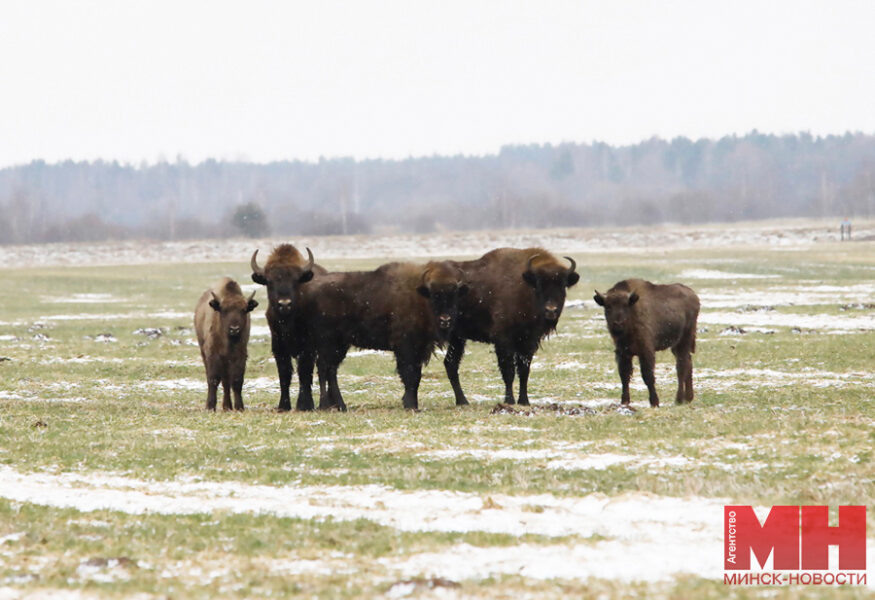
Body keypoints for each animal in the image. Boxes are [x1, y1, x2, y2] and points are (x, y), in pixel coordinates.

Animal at [194, 277, 258, 411]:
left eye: (244, 310)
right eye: (224, 310)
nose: (234, 329)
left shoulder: (240, 356)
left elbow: (237, 381)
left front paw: (239, 407)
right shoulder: (213, 355)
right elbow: (213, 379)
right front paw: (210, 406)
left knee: (226, 382)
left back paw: (227, 406)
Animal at [250, 244, 327, 412]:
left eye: (296, 280)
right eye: (269, 281)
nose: (284, 304)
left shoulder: (307, 348)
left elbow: (304, 372)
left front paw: (304, 405)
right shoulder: (279, 348)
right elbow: (284, 374)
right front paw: (283, 406)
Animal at [299, 260, 468, 411]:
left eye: (454, 295)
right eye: (434, 295)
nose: (445, 320)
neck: (420, 296)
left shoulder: (420, 348)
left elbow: (416, 376)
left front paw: (412, 404)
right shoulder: (406, 347)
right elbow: (410, 375)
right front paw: (410, 405)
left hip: (340, 345)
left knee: (330, 370)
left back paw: (340, 406)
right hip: (328, 343)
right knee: (324, 368)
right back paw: (326, 405)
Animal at [442, 248, 579, 406]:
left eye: (562, 285)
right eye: (539, 284)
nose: (551, 310)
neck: (525, 287)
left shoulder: (528, 342)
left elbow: (524, 371)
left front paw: (524, 401)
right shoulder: (503, 340)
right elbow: (509, 371)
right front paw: (509, 401)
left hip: (457, 338)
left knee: (450, 364)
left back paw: (462, 401)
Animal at [593, 279, 700, 407]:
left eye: (625, 306)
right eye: (608, 307)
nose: (618, 323)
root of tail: (694, 296)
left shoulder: (646, 351)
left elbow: (648, 376)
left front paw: (654, 402)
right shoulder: (623, 353)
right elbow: (624, 376)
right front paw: (624, 401)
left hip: (684, 340)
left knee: (681, 367)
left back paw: (678, 399)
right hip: (676, 346)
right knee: (687, 363)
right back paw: (688, 398)